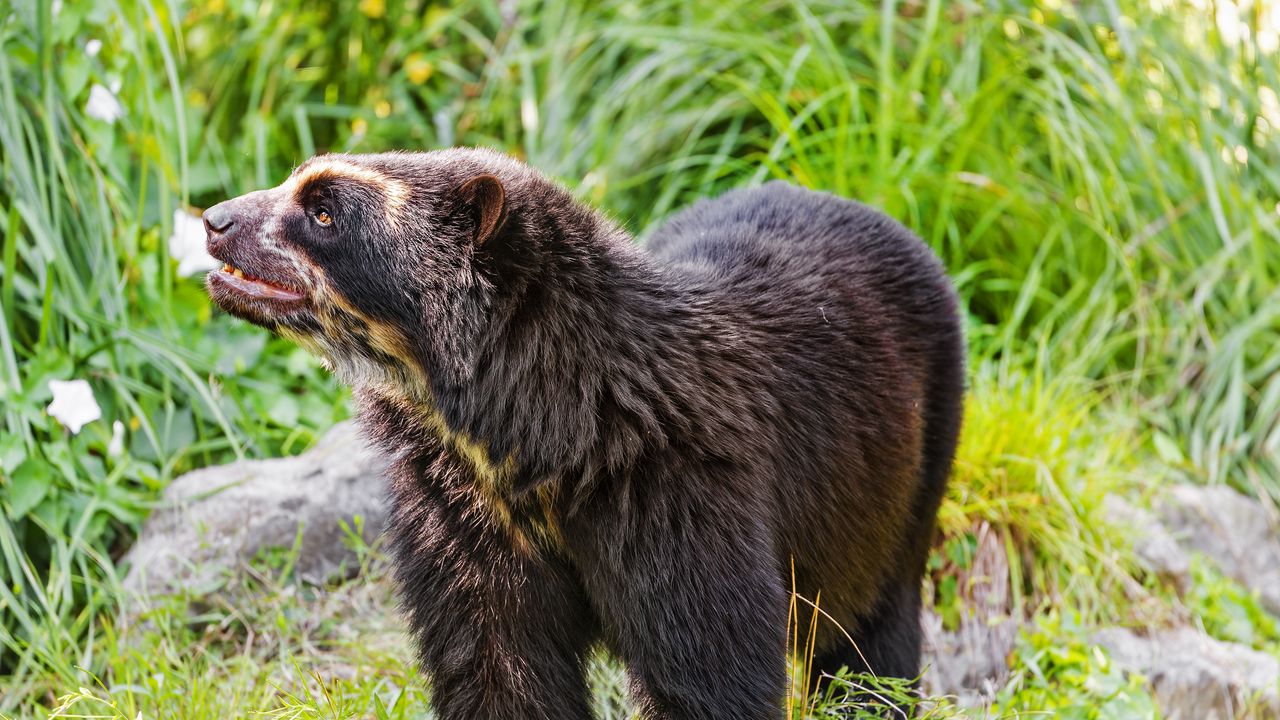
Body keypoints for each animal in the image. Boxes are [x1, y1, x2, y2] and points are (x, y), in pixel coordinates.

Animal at [202, 146, 962, 717]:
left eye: (324, 210)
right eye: (298, 177)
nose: (214, 219)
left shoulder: (679, 497)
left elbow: (710, 668)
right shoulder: (461, 521)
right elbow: (498, 670)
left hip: (895, 478)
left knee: (870, 632)